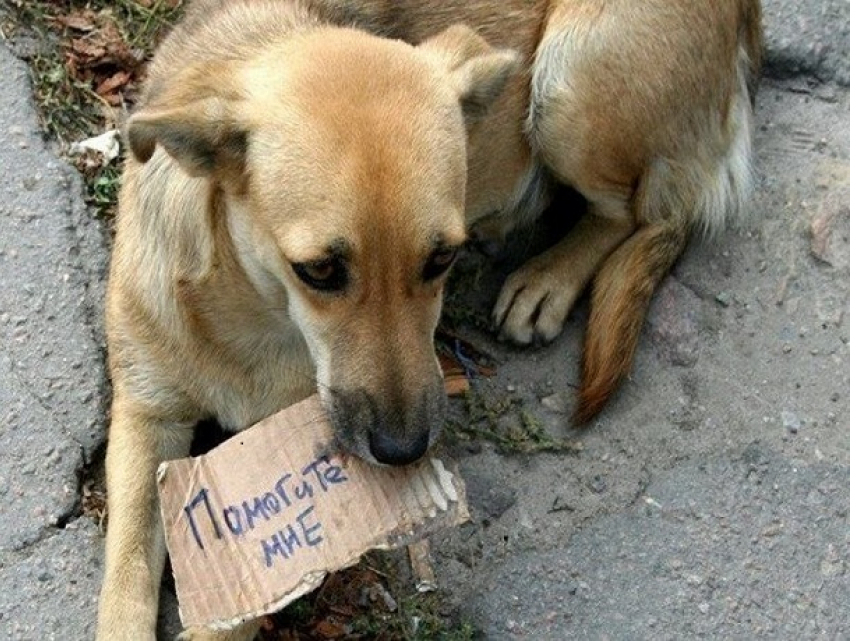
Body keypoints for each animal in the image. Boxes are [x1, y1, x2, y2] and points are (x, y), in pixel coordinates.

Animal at [96, 2, 760, 636]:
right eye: (319, 271)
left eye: (442, 258)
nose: (404, 450)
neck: (252, 309)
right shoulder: (146, 419)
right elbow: (125, 580)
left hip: (568, 82)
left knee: (636, 212)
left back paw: (549, 278)